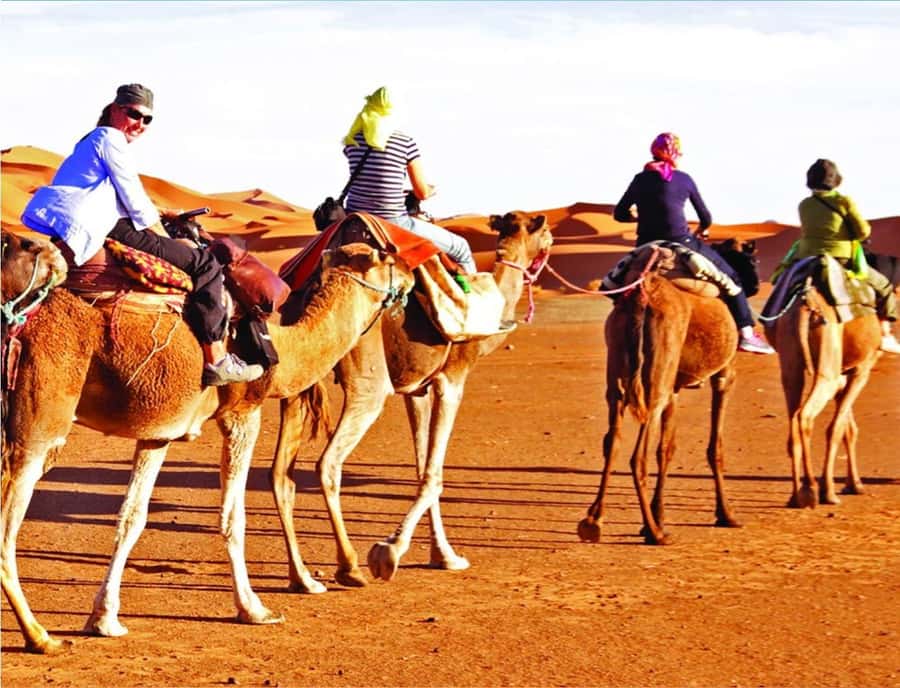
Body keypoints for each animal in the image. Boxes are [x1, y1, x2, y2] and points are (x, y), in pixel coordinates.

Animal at [1, 235, 414, 654]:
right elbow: (233, 516)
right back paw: (39, 635)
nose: (411, 274)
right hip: (41, 422)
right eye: (385, 258)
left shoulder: (158, 433)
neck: (283, 346)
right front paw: (254, 609)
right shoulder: (243, 412)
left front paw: (105, 619)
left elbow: (132, 517)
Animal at [269, 210, 553, 589]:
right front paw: (389, 551)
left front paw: (444, 555)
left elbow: (421, 467)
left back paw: (302, 578)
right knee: (328, 462)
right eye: (544, 230)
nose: (550, 243)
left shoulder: (417, 389)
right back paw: (349, 566)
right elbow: (434, 474)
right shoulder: (453, 378)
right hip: (368, 379)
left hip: (299, 376)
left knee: (280, 475)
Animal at [577, 243, 757, 545]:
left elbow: (666, 449)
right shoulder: (724, 374)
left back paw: (594, 521)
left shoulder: (674, 389)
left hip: (620, 366)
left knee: (612, 440)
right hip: (656, 373)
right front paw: (726, 515)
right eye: (752, 260)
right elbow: (715, 447)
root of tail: (643, 297)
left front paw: (660, 513)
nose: (755, 284)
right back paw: (655, 533)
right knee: (637, 456)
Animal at [762, 280, 881, 508]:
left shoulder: (844, 374)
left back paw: (795, 496)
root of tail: (807, 303)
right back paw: (811, 490)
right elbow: (837, 428)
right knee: (805, 415)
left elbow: (848, 428)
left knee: (792, 421)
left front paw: (854, 485)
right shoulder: (862, 369)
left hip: (790, 359)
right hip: (828, 367)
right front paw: (831, 491)